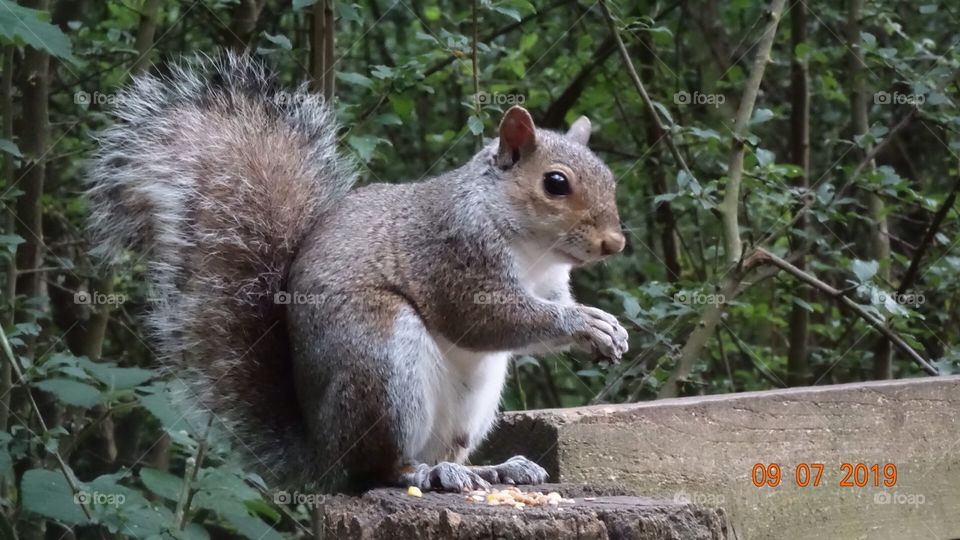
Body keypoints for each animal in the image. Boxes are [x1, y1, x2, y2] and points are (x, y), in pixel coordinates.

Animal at [86, 53, 628, 493]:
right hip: (379, 357)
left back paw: (488, 470)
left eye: (610, 177)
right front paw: (585, 324)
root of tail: (322, 453)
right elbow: (484, 319)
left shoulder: (549, 284)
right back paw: (420, 474)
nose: (615, 243)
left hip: (469, 404)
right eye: (555, 183)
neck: (532, 249)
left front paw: (609, 330)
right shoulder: (454, 253)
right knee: (376, 470)